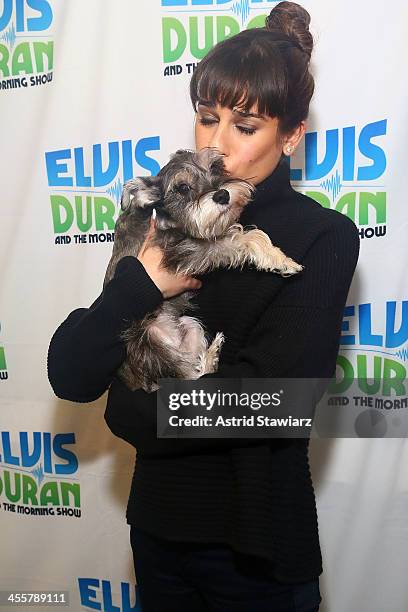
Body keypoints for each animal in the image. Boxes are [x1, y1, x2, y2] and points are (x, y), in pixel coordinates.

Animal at [103, 148, 302, 392]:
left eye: (215, 167)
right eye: (182, 188)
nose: (222, 195)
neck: (162, 217)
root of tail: (138, 383)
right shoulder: (185, 251)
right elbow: (240, 238)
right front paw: (282, 260)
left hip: (190, 326)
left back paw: (212, 353)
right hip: (152, 345)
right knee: (188, 377)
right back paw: (212, 354)